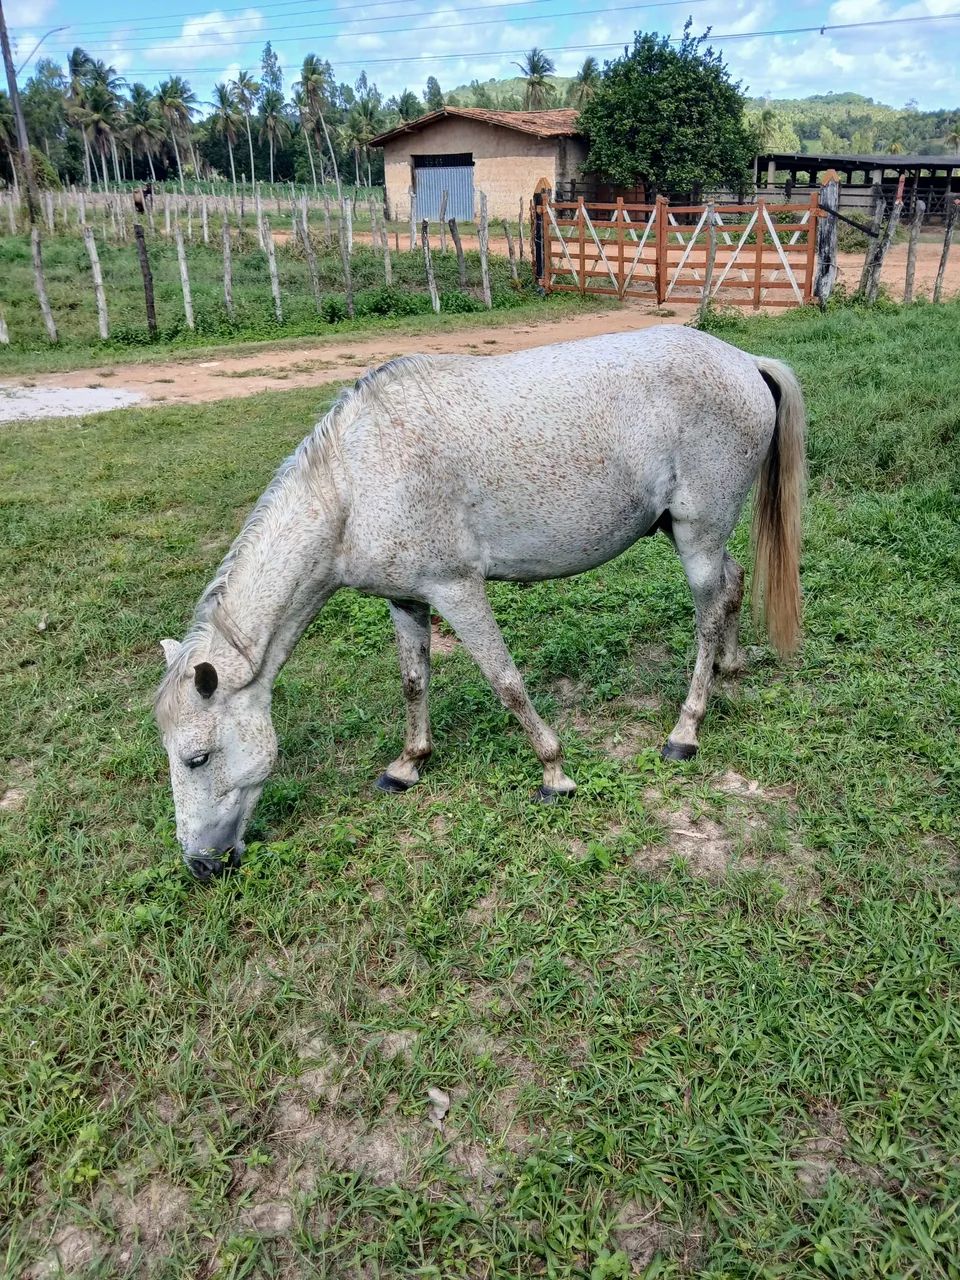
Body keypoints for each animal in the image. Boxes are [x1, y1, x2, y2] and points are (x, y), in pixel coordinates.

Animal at [155, 327, 806, 880]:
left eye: (196, 759)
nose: (200, 865)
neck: (355, 483)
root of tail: (744, 361)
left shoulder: (457, 589)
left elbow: (506, 682)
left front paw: (554, 772)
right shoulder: (405, 599)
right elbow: (414, 682)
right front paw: (407, 765)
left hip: (697, 536)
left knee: (707, 615)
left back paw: (686, 729)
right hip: (688, 534)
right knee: (732, 584)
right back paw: (731, 666)